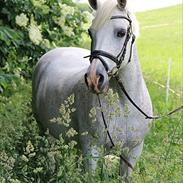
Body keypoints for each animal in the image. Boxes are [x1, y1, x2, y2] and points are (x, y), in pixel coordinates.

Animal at [32, 0, 152, 178]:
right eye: (90, 33)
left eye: (121, 32)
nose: (94, 79)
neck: (124, 106)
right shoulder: (92, 150)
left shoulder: (132, 152)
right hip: (45, 132)